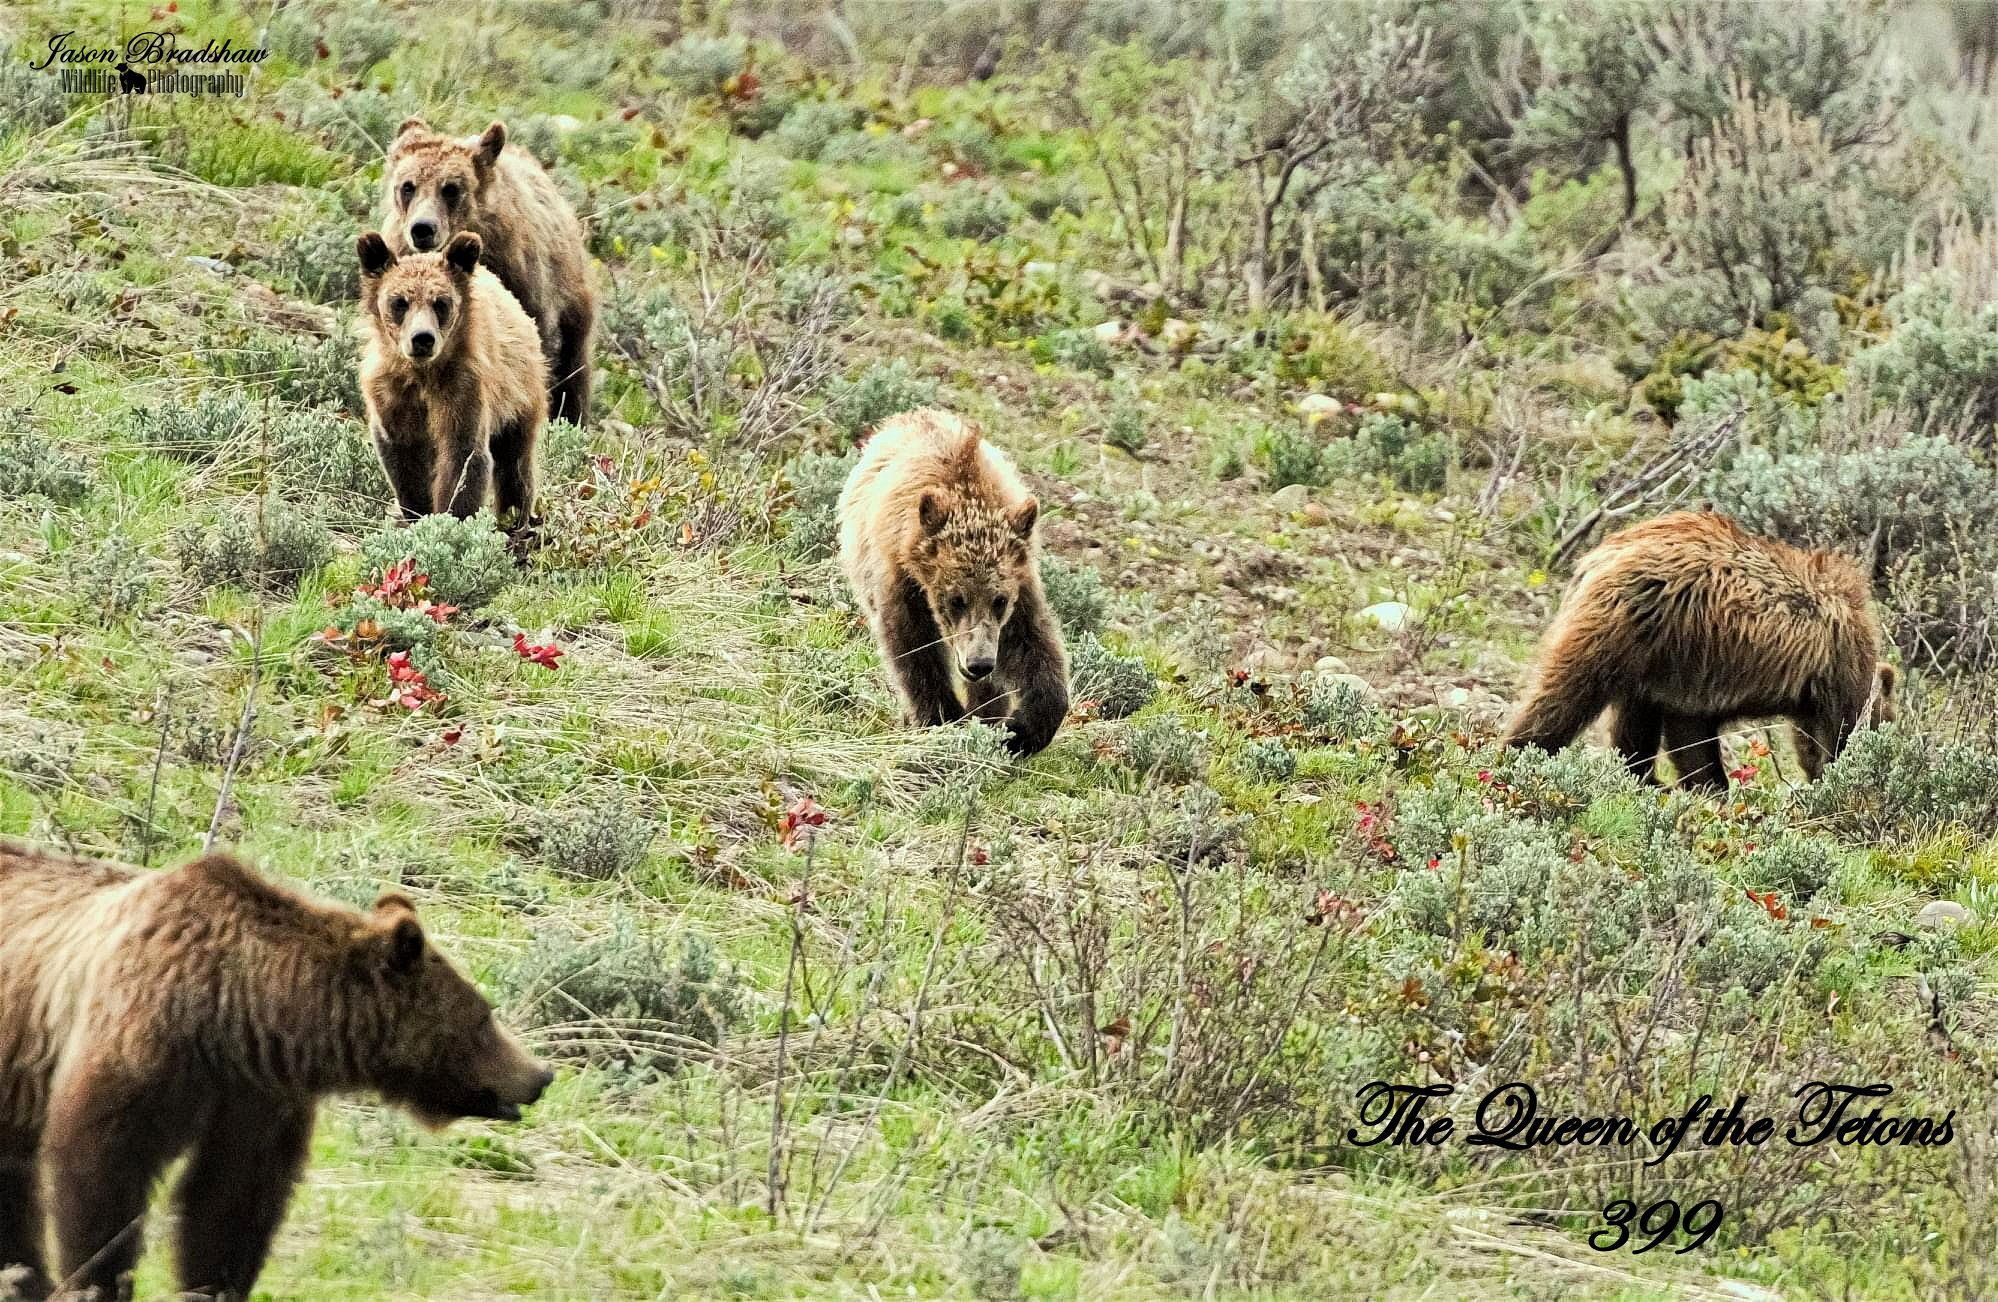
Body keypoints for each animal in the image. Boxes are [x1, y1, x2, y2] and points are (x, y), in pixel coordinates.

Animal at [0, 840, 552, 1302]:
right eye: (483, 1016)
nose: (540, 1075)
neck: (241, 1006)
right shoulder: (143, 1041)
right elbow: (103, 1169)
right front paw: (98, 1280)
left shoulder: (256, 1094)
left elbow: (232, 1198)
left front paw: (214, 1285)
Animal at [357, 229, 548, 538]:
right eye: (399, 302)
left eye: (441, 302)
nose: (422, 338)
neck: (422, 375)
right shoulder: (392, 395)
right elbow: (403, 461)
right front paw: (416, 513)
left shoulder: (462, 389)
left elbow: (464, 458)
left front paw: (451, 521)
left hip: (519, 393)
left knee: (516, 463)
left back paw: (516, 523)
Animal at [382, 118, 596, 426]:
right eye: (408, 186)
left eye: (451, 188)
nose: (422, 228)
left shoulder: (522, 281)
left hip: (570, 287)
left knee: (575, 356)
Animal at [837, 408, 1070, 756]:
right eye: (956, 599)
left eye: (1000, 601)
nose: (979, 663)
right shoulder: (902, 584)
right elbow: (913, 652)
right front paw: (941, 719)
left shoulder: (1021, 584)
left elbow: (1033, 645)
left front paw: (1019, 731)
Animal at [1501, 510, 1897, 790]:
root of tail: (1598, 556)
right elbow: (1834, 734)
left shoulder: (1692, 680)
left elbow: (1689, 738)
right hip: (1623, 625)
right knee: (1566, 693)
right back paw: (1521, 752)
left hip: (1649, 650)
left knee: (1630, 718)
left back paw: (1643, 778)